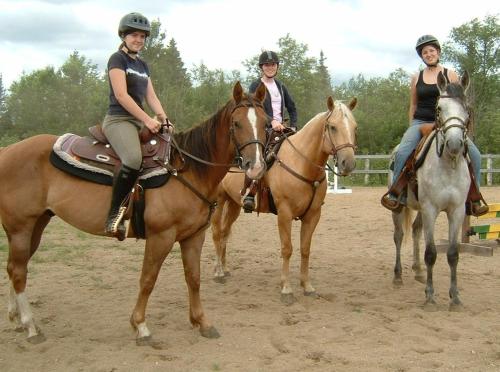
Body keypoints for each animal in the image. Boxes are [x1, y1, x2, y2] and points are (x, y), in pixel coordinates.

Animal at [0, 81, 270, 342]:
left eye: (266, 123)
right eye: (236, 123)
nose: (256, 167)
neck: (187, 170)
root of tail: (7, 151)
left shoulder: (194, 236)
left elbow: (193, 278)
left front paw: (202, 322)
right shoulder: (161, 236)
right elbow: (148, 279)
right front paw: (140, 326)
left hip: (36, 224)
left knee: (14, 267)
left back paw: (16, 319)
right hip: (21, 226)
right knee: (18, 271)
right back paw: (31, 326)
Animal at [209, 97, 358, 304]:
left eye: (354, 127)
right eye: (333, 127)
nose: (348, 163)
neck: (301, 163)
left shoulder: (313, 215)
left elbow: (305, 249)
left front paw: (307, 286)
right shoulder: (284, 214)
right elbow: (287, 249)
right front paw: (286, 289)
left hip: (233, 205)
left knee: (224, 233)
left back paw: (225, 269)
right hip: (220, 201)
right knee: (217, 233)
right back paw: (218, 273)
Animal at [392, 71, 470, 310]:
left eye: (466, 108)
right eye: (439, 108)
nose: (454, 144)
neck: (447, 165)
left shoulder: (457, 211)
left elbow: (453, 254)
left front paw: (455, 297)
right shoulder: (430, 209)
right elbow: (431, 253)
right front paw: (429, 295)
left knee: (416, 230)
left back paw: (417, 271)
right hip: (399, 208)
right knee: (399, 236)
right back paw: (398, 276)